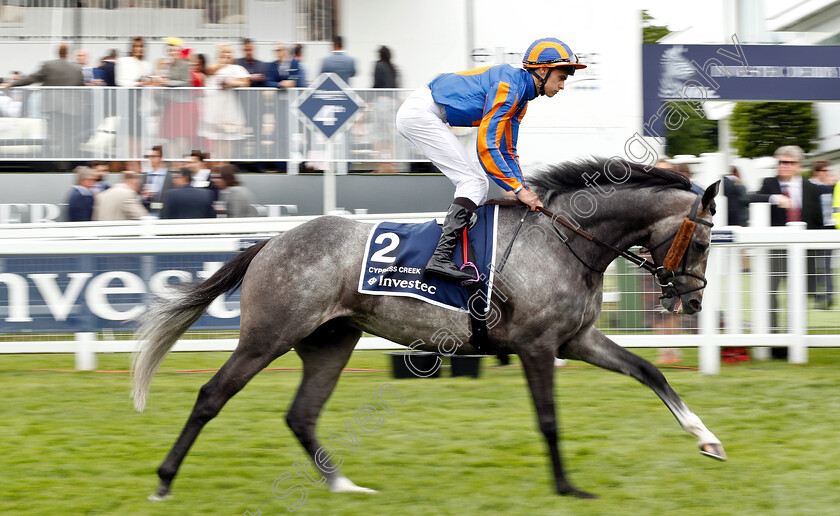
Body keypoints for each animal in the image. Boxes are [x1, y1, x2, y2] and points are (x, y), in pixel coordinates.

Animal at [135, 160, 724, 500]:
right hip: (268, 336)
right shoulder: (536, 345)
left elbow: (648, 371)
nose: (694, 300)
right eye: (702, 241)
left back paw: (343, 484)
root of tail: (270, 243)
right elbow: (549, 418)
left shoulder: (574, 340)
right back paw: (163, 479)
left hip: (331, 341)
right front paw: (566, 486)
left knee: (301, 414)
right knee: (212, 394)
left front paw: (707, 439)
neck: (567, 239)